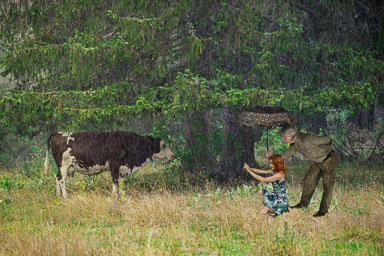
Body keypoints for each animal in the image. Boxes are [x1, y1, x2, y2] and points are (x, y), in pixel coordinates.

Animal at [45, 131, 176, 199]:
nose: (173, 155)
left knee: (57, 178)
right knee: (62, 180)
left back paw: (58, 196)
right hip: (64, 165)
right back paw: (65, 197)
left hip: (61, 167)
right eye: (164, 145)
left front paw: (123, 196)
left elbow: (121, 182)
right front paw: (115, 196)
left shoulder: (122, 168)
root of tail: (58, 133)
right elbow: (115, 181)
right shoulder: (114, 165)